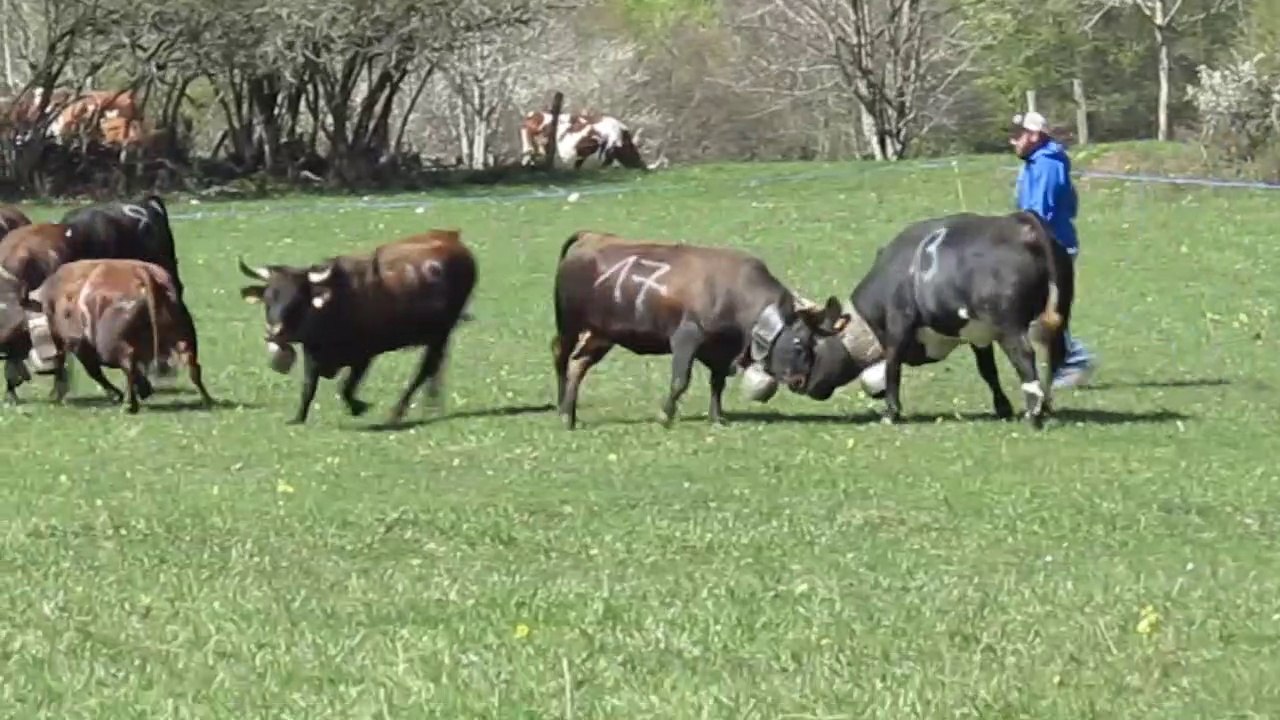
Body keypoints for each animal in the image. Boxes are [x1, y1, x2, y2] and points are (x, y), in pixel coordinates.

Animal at [16, 258, 213, 413]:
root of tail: (143, 274)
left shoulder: (77, 344)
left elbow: (94, 371)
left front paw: (118, 393)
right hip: (184, 337)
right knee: (193, 365)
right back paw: (207, 400)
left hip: (112, 346)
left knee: (129, 365)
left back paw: (128, 404)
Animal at [236, 229, 478, 426]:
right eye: (268, 299)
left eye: (297, 300)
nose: (274, 333)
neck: (333, 305)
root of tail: (450, 237)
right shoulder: (312, 354)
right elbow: (308, 388)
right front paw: (298, 417)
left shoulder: (365, 356)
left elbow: (345, 388)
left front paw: (360, 407)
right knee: (435, 368)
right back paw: (432, 406)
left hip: (441, 332)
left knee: (425, 369)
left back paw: (397, 412)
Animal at [550, 230, 850, 430]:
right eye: (799, 343)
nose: (800, 381)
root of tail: (591, 236)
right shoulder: (687, 336)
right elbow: (680, 380)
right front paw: (665, 415)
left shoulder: (720, 350)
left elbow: (717, 383)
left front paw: (717, 417)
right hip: (569, 323)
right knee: (560, 354)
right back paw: (560, 404)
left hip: (602, 334)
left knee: (579, 364)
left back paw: (568, 415)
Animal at [795, 211, 1075, 428]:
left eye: (810, 343)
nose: (799, 384)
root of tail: (1020, 222)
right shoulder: (978, 335)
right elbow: (988, 371)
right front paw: (1002, 408)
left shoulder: (899, 323)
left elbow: (892, 367)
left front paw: (891, 413)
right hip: (1058, 317)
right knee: (1054, 356)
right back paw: (1046, 407)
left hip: (1010, 325)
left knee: (1025, 357)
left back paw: (1034, 414)